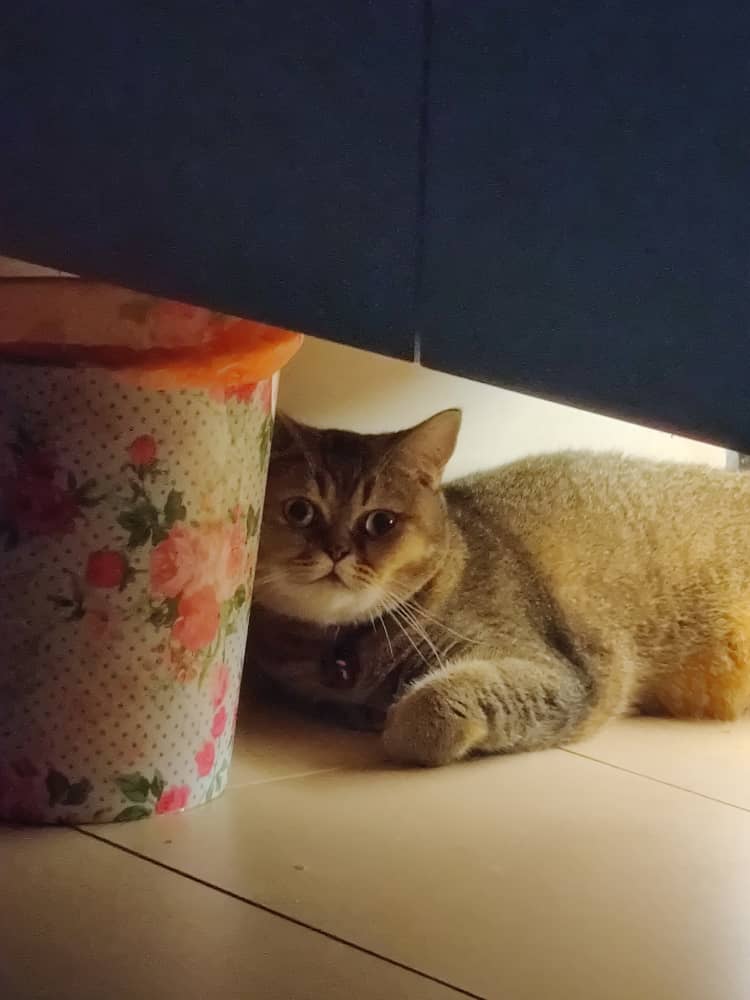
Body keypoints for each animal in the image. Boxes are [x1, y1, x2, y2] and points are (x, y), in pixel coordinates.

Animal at [246, 409, 750, 766]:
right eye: (300, 511)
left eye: (381, 522)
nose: (336, 551)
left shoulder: (563, 677)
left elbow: (426, 707)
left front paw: (393, 723)